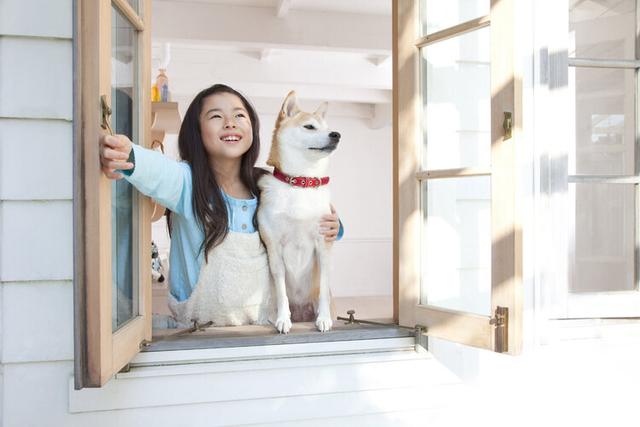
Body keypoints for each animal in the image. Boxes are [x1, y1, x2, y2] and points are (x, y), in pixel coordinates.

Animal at [258, 91, 342, 334]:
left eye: (328, 127)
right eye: (309, 127)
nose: (336, 134)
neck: (301, 183)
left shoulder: (323, 245)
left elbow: (323, 286)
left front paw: (323, 318)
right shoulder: (274, 248)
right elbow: (281, 290)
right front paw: (283, 319)